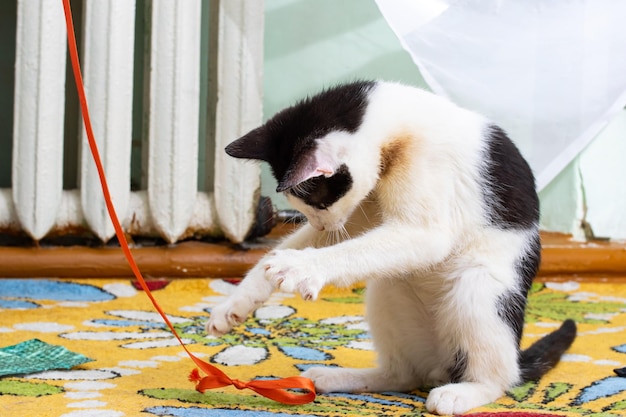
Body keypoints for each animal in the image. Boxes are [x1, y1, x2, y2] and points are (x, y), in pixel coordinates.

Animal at [206, 80, 576, 412]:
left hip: (477, 287)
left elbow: (397, 241)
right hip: (390, 291)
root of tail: (444, 366)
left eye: (319, 202)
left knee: (500, 375)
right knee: (404, 374)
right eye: (310, 209)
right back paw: (343, 378)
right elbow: (321, 242)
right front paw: (234, 304)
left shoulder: (425, 207)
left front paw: (301, 266)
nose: (321, 225)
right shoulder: (360, 211)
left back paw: (465, 392)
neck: (399, 129)